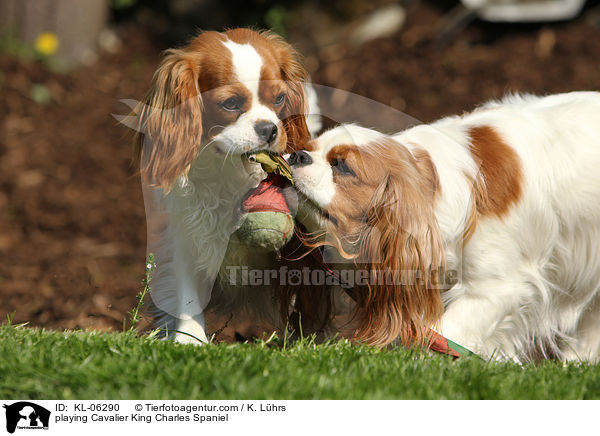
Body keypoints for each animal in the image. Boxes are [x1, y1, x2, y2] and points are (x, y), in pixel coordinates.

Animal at [134, 28, 322, 344]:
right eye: (230, 104)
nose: (270, 129)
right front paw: (189, 339)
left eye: (280, 98)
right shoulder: (184, 234)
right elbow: (186, 294)